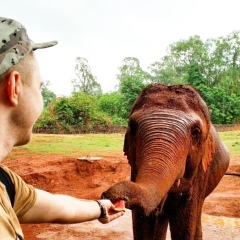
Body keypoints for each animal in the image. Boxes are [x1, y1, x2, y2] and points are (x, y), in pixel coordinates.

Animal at [102, 84, 230, 240]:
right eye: (132, 127)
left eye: (195, 132)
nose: (108, 194)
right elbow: (146, 225)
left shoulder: (200, 173)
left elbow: (184, 225)